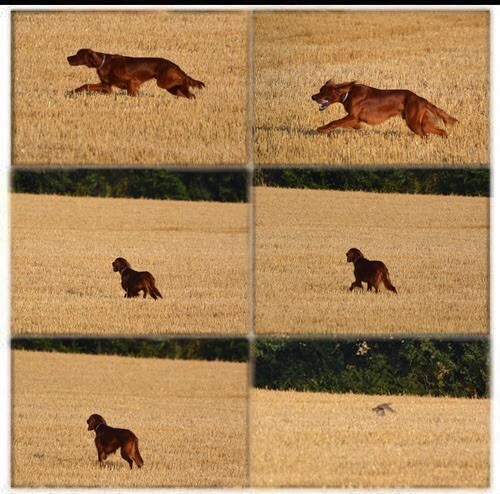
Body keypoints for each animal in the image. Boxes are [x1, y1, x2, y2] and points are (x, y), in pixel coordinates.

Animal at [67, 48, 204, 97]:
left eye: (78, 54)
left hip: (163, 82)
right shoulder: (106, 86)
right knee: (188, 94)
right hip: (171, 87)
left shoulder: (131, 81)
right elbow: (87, 85)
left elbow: (131, 93)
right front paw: (73, 91)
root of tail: (175, 65)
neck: (103, 62)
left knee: (184, 79)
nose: (67, 57)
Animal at [312, 80, 458, 137]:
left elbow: (334, 122)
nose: (312, 96)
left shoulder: (352, 116)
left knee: (425, 135)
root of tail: (420, 98)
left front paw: (321, 129)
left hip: (413, 123)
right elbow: (353, 125)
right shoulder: (354, 119)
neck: (348, 93)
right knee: (442, 131)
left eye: (323, 91)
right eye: (320, 89)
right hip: (422, 122)